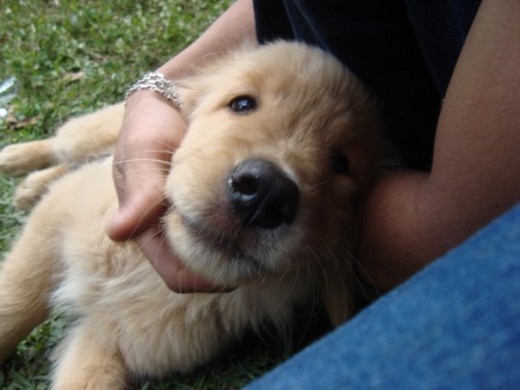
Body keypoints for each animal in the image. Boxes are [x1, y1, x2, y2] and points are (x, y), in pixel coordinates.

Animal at [0, 41, 382, 388]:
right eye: (242, 104)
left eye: (340, 163)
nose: (266, 193)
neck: (148, 273)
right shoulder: (58, 216)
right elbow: (15, 301)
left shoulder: (110, 339)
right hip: (91, 134)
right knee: (63, 146)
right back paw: (16, 162)